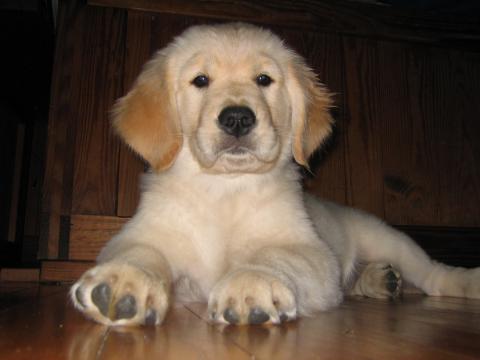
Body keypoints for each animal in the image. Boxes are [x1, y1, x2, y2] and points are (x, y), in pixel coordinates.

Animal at [70, 22, 480, 326]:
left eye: (264, 80)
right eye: (200, 81)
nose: (237, 118)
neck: (224, 189)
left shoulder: (308, 249)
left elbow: (274, 255)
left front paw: (251, 280)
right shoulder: (142, 233)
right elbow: (140, 251)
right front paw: (123, 280)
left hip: (387, 237)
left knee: (431, 273)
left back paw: (463, 280)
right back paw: (380, 279)